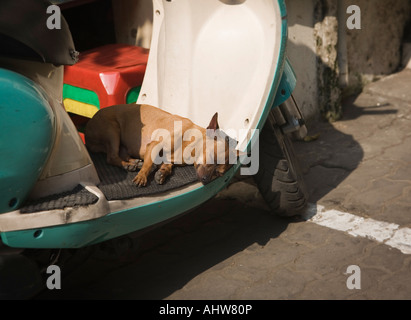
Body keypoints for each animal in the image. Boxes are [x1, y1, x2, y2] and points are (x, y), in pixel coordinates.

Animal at [84, 104, 235, 186]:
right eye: (210, 159)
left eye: (218, 174)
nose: (206, 179)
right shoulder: (154, 145)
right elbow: (148, 163)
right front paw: (142, 176)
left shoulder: (169, 160)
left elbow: (167, 167)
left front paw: (162, 173)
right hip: (112, 131)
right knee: (111, 157)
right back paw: (128, 165)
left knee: (120, 154)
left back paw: (132, 163)